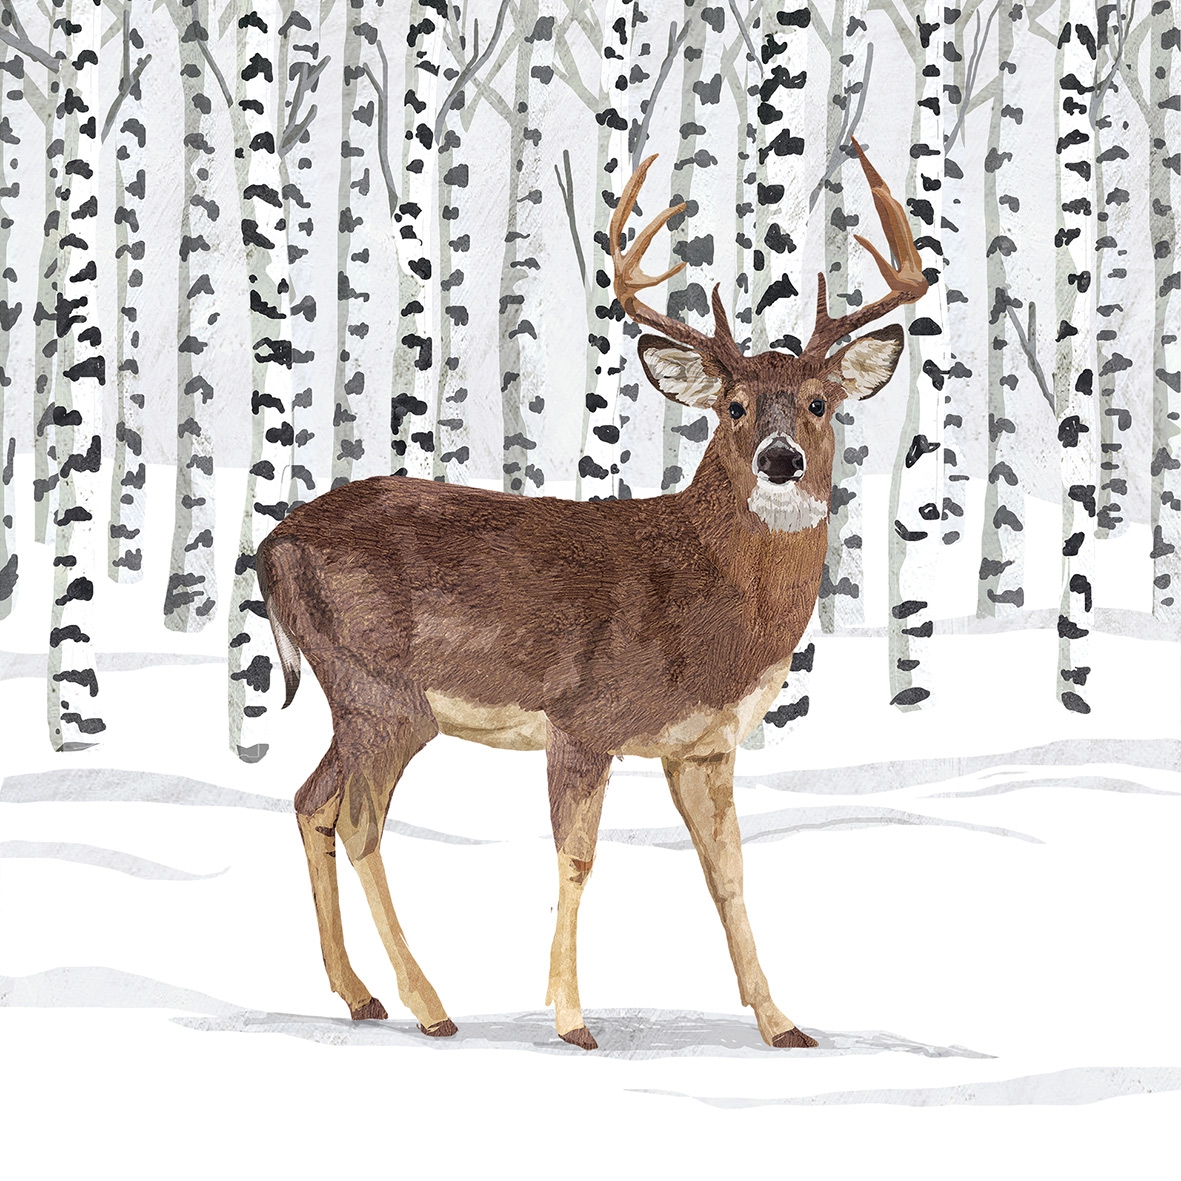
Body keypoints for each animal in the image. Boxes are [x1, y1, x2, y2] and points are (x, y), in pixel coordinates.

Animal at [256, 138, 927, 1051]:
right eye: (734, 405)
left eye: (820, 402)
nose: (780, 459)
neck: (707, 605)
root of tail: (271, 544)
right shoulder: (582, 718)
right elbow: (576, 858)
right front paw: (572, 1018)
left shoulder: (703, 744)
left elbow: (727, 870)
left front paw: (781, 1021)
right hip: (383, 690)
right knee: (357, 819)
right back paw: (429, 1005)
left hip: (354, 696)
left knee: (309, 801)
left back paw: (360, 994)